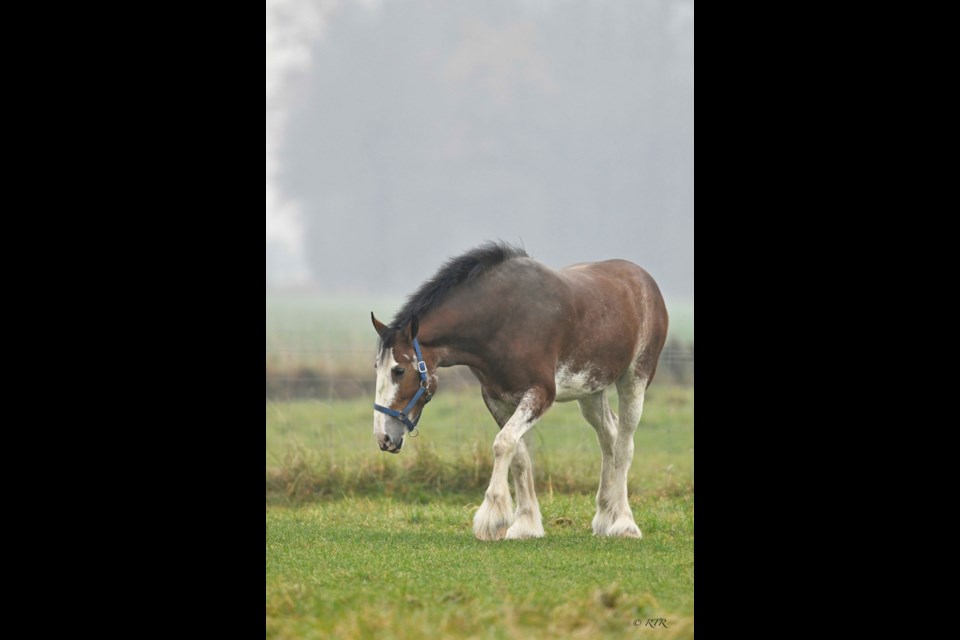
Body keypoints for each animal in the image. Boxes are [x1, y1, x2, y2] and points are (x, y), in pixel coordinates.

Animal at [370, 241, 668, 540]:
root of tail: (645, 281)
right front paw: (526, 524)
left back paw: (624, 523)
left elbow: (503, 444)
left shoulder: (541, 394)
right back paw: (606, 516)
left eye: (399, 370)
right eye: (376, 367)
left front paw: (492, 517)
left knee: (624, 445)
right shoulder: (497, 399)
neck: (503, 320)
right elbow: (519, 455)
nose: (384, 438)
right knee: (608, 437)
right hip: (591, 391)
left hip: (634, 380)